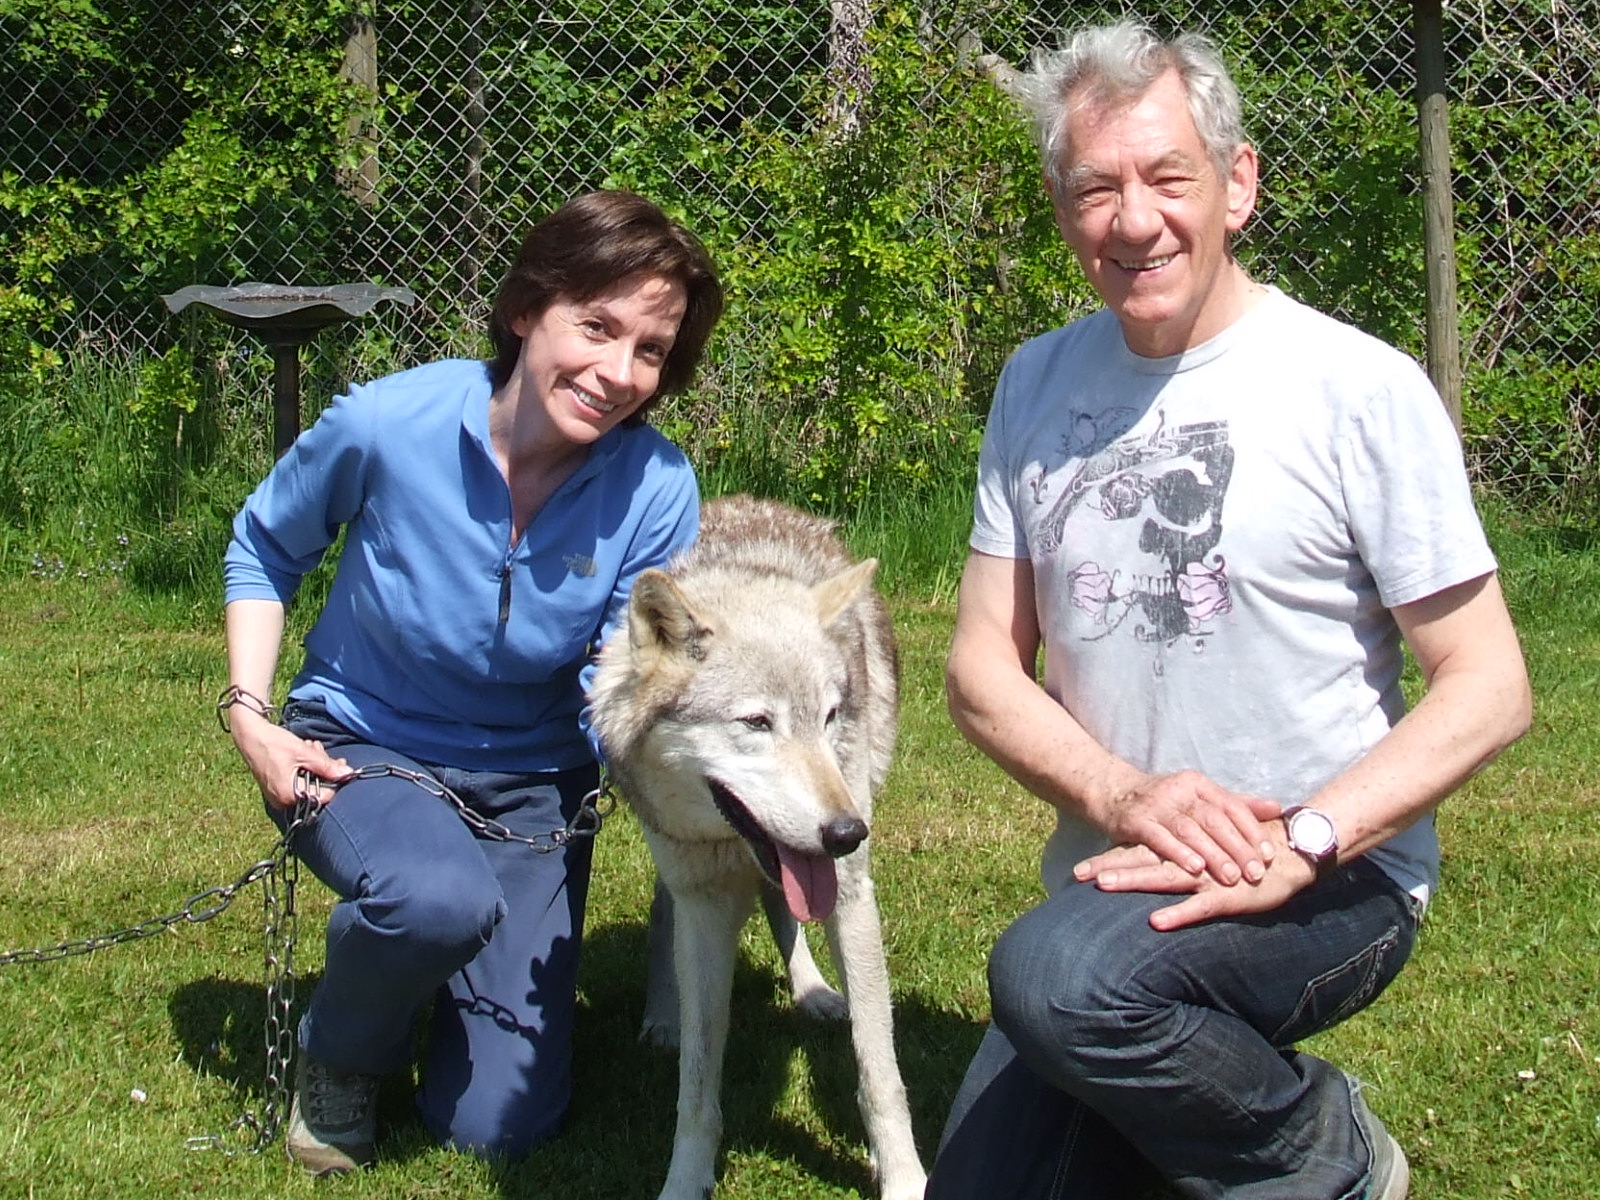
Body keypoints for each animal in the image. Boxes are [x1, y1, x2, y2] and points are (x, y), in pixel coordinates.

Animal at [592, 496, 928, 1200]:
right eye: (756, 723)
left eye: (829, 717)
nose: (848, 833)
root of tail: (743, 501)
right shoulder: (704, 905)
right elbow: (696, 1085)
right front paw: (684, 1181)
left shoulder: (851, 895)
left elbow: (879, 1071)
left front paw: (904, 1178)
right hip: (681, 869)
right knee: (667, 917)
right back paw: (662, 1017)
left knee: (784, 909)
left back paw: (813, 991)